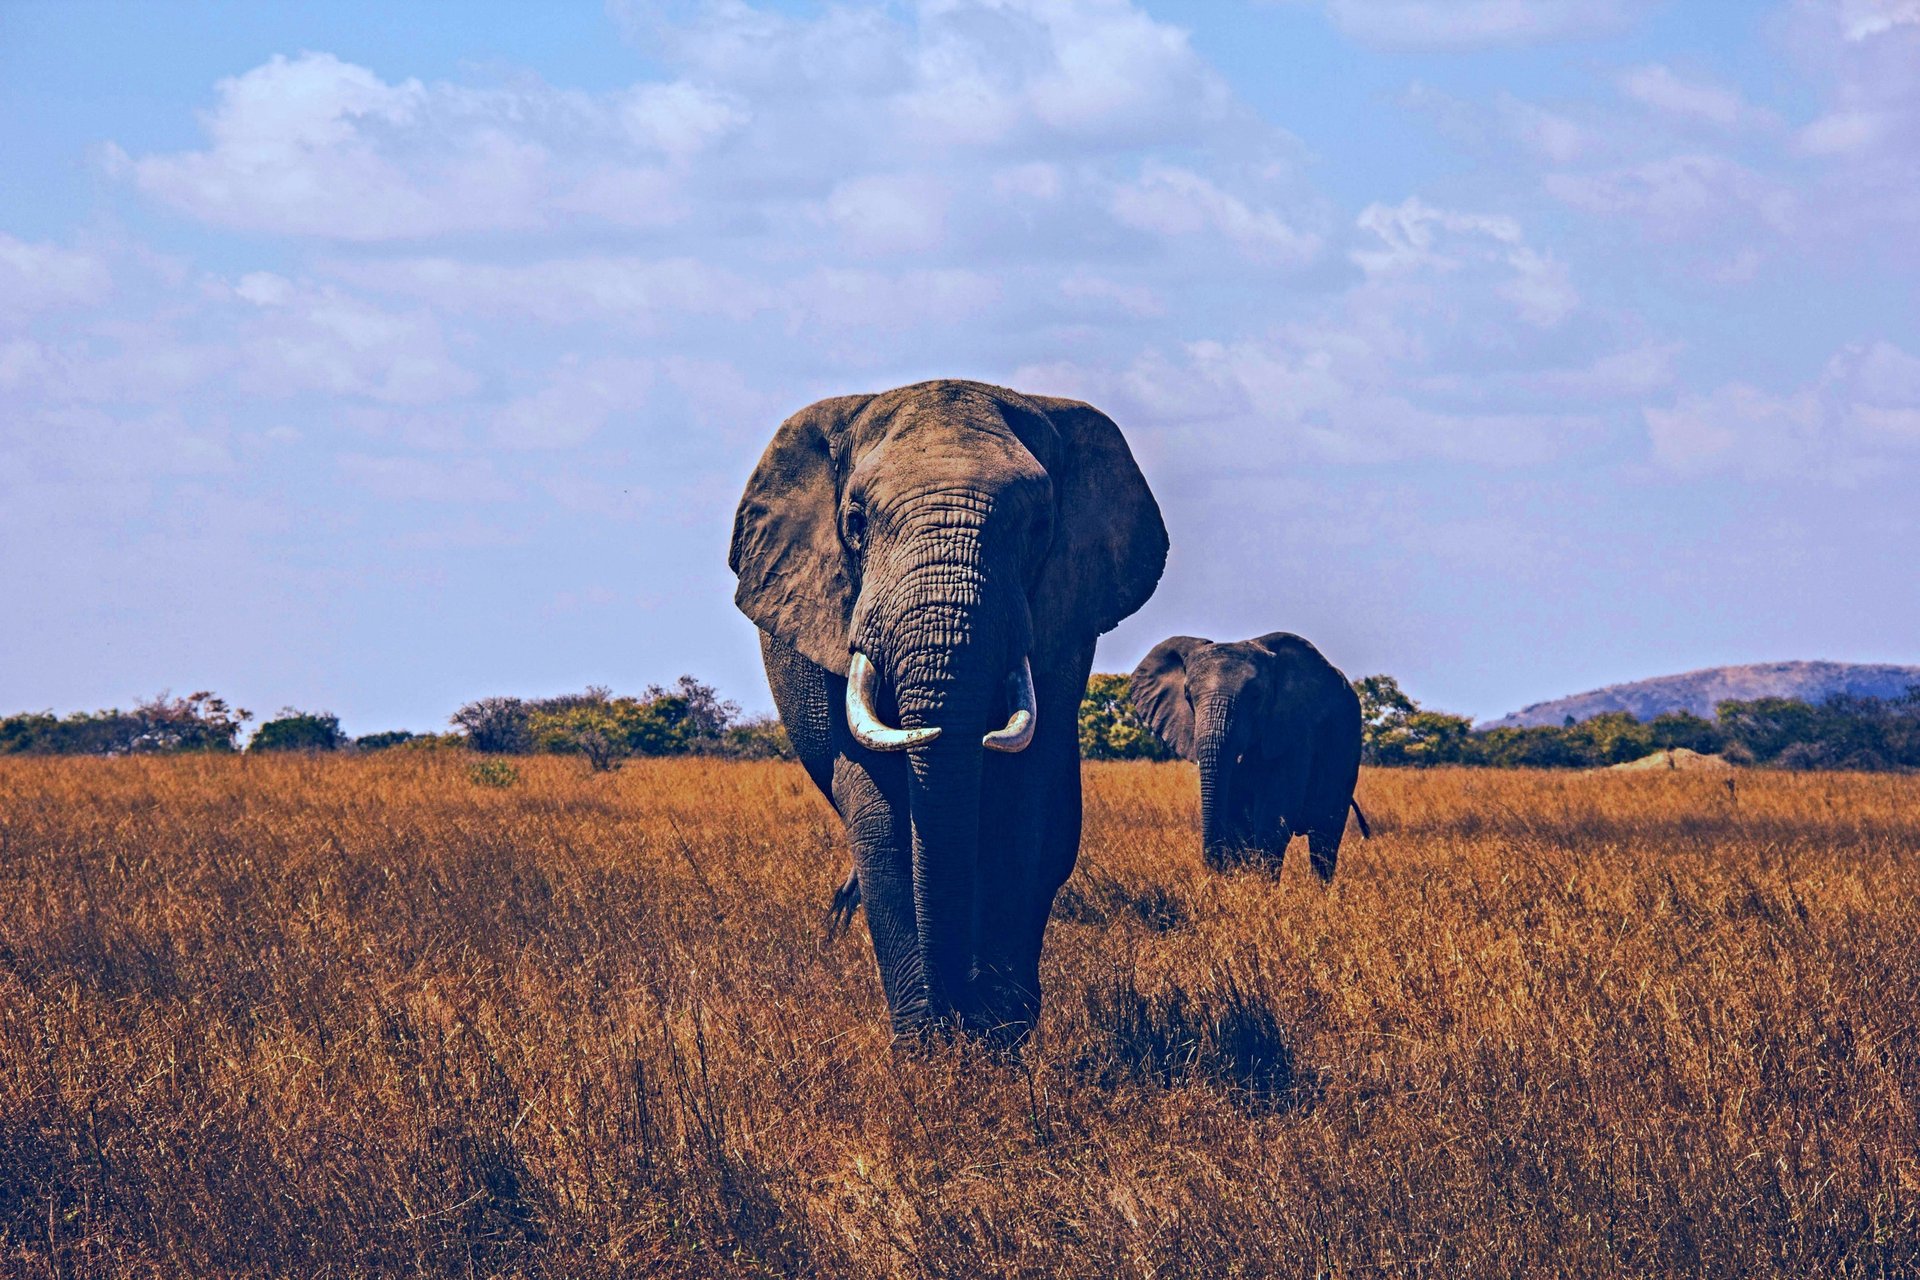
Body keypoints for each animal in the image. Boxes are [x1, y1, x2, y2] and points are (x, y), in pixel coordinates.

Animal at [725, 376, 1159, 1043]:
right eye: (855, 523)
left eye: (1040, 526)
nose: (956, 1017)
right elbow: (879, 814)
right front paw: (926, 1046)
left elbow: (1019, 804)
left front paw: (999, 1039)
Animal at [1128, 633, 1374, 882]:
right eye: (1188, 696)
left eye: (1256, 697)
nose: (1213, 869)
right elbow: (1237, 819)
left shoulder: (1295, 731)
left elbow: (1274, 817)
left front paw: (1263, 886)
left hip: (1346, 748)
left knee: (1325, 836)